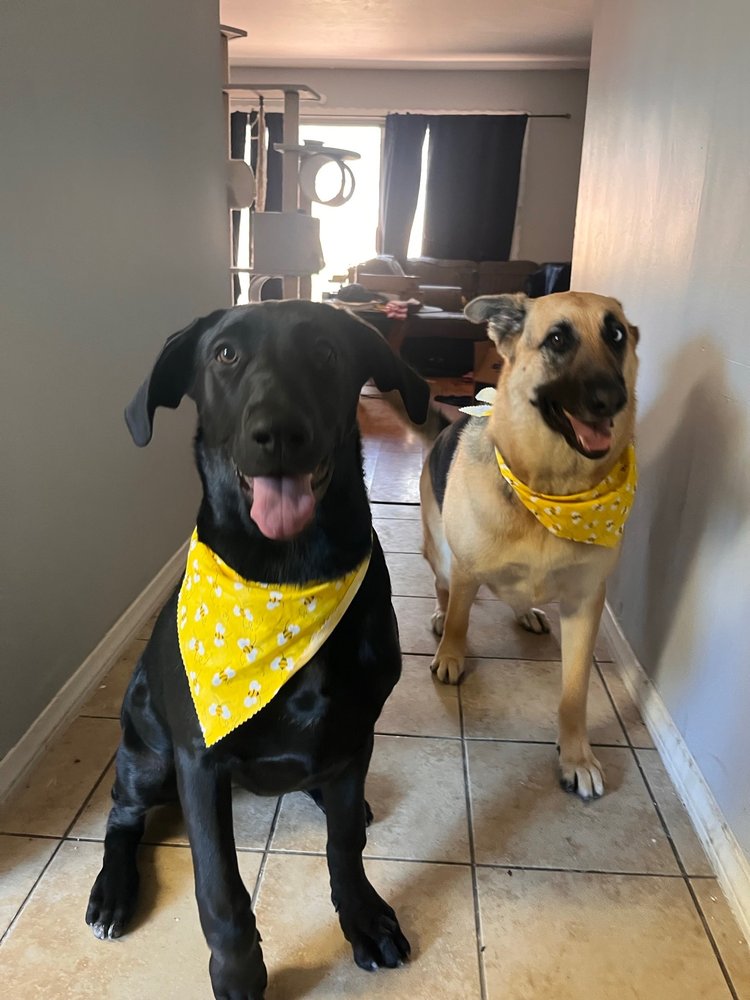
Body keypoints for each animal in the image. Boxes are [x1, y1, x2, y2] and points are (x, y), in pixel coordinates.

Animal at [85, 300, 429, 999]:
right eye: (225, 355)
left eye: (326, 350)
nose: (279, 433)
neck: (288, 576)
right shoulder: (199, 761)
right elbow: (219, 888)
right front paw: (239, 972)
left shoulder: (355, 734)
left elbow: (345, 842)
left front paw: (362, 917)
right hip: (145, 751)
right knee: (122, 817)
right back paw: (112, 891)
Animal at [420, 291, 639, 800]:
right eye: (558, 340)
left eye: (616, 334)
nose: (612, 398)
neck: (552, 493)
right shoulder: (466, 568)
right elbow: (460, 619)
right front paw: (452, 655)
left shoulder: (585, 603)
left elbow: (575, 693)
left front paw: (577, 757)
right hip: (441, 553)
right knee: (444, 591)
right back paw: (442, 617)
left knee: (519, 596)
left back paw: (527, 612)